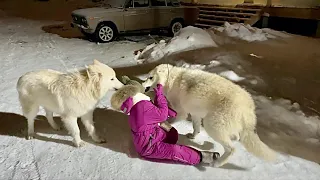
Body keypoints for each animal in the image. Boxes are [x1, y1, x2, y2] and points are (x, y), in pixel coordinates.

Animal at [141, 63, 276, 167]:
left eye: (150, 77)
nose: (141, 85)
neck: (172, 80)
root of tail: (248, 107)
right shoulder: (195, 113)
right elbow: (196, 128)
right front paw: (193, 136)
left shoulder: (182, 113)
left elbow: (169, 120)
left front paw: (162, 124)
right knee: (236, 137)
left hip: (212, 126)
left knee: (231, 149)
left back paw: (217, 163)